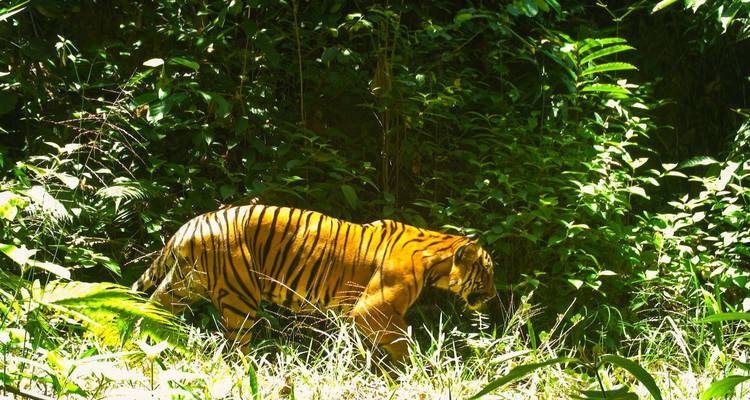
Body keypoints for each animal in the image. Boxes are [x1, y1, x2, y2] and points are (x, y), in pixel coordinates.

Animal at [132, 204, 496, 363]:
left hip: (182, 286)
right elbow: (402, 341)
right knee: (237, 350)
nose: (493, 295)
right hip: (239, 299)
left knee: (148, 311)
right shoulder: (372, 309)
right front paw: (408, 374)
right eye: (488, 272)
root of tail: (191, 224)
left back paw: (137, 348)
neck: (437, 260)